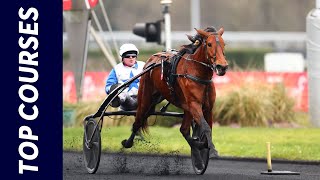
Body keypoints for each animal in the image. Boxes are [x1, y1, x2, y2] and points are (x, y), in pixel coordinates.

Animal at [120, 26, 228, 170]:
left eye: (223, 44)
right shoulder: (194, 104)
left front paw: (203, 146)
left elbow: (207, 128)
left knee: (184, 130)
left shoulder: (207, 107)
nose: (222, 67)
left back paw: (198, 155)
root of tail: (152, 59)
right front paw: (213, 150)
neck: (198, 73)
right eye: (209, 44)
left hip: (180, 106)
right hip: (146, 98)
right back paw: (127, 143)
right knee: (138, 121)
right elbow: (205, 127)